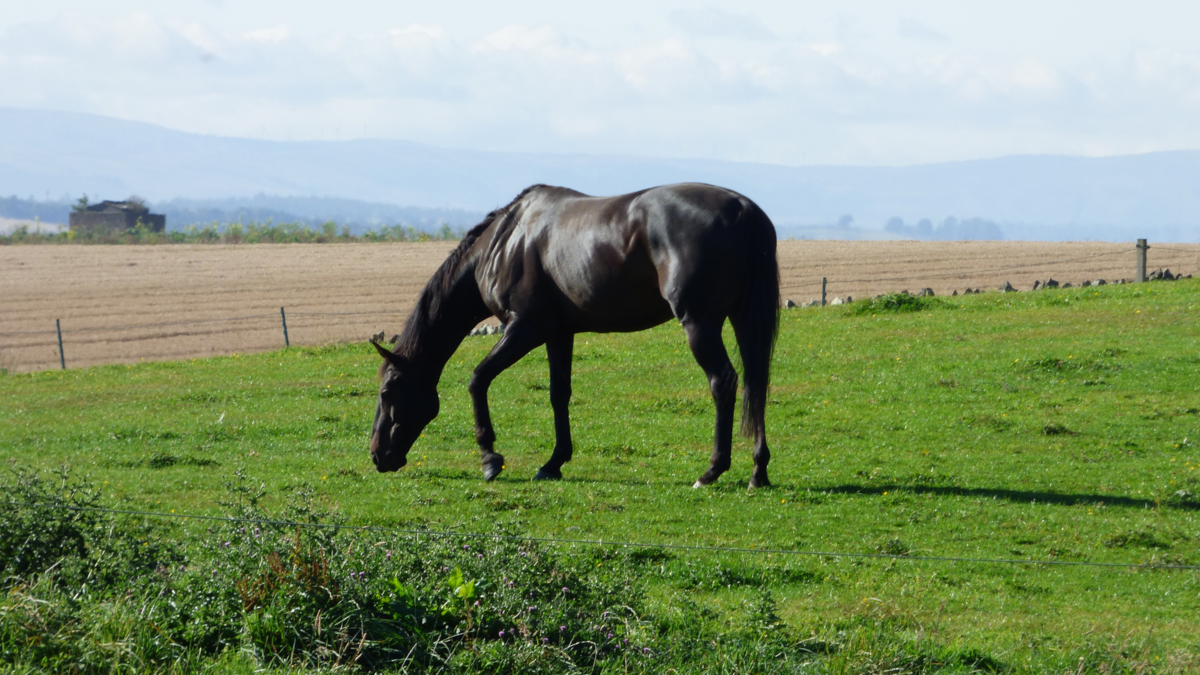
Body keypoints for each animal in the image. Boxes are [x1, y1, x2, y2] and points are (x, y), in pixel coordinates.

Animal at [369, 183, 782, 485]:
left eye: (388, 391)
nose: (377, 455)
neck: (503, 242)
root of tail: (744, 209)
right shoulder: (559, 333)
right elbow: (558, 395)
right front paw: (553, 462)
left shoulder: (524, 327)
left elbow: (478, 379)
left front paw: (489, 458)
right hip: (741, 318)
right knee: (756, 382)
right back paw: (758, 471)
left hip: (699, 322)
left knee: (723, 382)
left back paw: (712, 471)